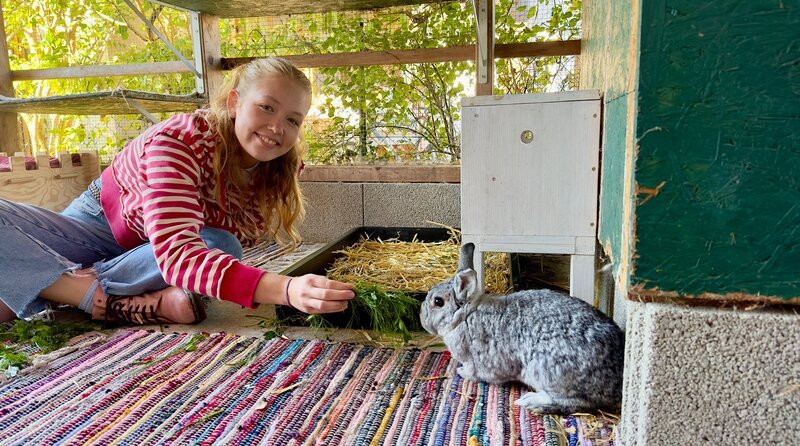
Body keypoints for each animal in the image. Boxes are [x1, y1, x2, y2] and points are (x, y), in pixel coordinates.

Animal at [420, 242, 625, 414]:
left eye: (438, 302)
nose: (422, 317)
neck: (465, 316)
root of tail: (616, 385)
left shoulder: (477, 360)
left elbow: (475, 373)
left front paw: (460, 372)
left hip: (547, 372)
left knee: (575, 403)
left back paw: (530, 401)